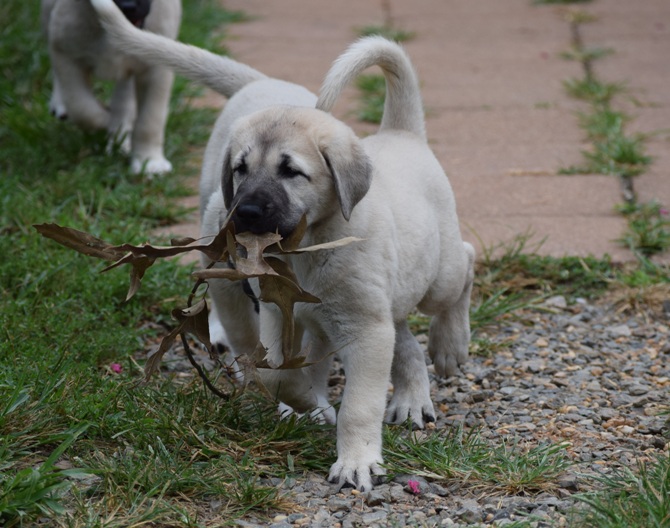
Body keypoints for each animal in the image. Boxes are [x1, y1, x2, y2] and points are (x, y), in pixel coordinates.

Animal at [41, 0, 181, 174]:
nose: (128, 7)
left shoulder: (156, 70)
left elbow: (150, 120)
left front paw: (149, 161)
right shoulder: (67, 55)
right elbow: (83, 108)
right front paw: (106, 121)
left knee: (124, 99)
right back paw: (60, 102)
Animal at [90, 0, 475, 491]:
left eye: (291, 171)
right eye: (239, 168)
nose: (246, 212)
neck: (308, 248)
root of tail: (402, 133)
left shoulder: (364, 329)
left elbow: (359, 404)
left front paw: (356, 460)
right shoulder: (283, 317)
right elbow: (279, 378)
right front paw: (311, 406)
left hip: (438, 276)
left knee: (463, 267)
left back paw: (450, 346)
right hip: (384, 299)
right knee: (404, 338)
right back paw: (409, 398)